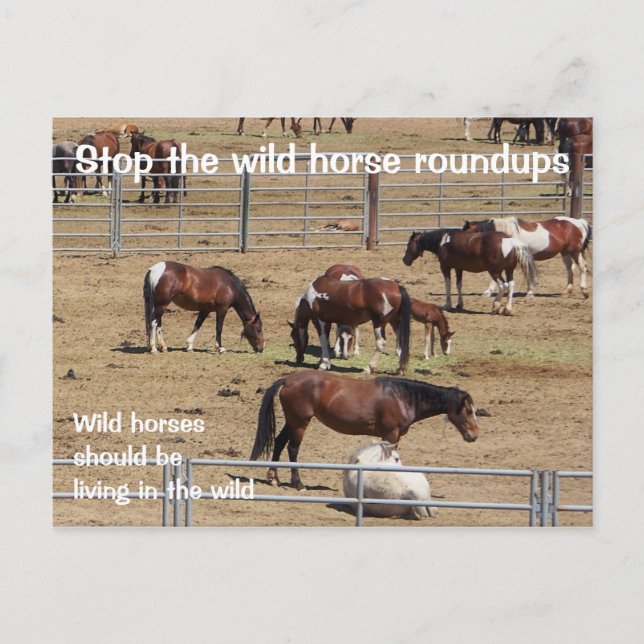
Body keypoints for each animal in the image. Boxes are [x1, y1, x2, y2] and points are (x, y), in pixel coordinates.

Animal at [250, 371, 479, 490]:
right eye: (468, 410)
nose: (474, 435)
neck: (402, 397)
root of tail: (288, 379)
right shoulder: (391, 434)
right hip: (299, 423)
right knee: (292, 448)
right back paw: (298, 484)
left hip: (293, 421)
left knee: (279, 442)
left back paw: (273, 478)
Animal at [402, 229, 537, 315]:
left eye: (409, 244)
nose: (404, 260)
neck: (444, 241)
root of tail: (508, 240)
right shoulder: (458, 268)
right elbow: (459, 285)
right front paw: (459, 305)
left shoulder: (445, 267)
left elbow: (448, 284)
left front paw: (447, 305)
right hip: (509, 271)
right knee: (511, 285)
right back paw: (507, 309)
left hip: (495, 272)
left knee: (503, 285)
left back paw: (496, 305)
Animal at [462, 216, 591, 298]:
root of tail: (579, 222)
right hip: (565, 252)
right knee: (570, 269)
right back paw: (567, 291)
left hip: (575, 251)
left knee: (582, 267)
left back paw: (584, 291)